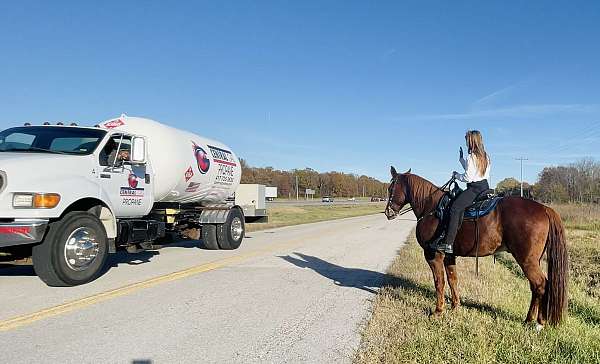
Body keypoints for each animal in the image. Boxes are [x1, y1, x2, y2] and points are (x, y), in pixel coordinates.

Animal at [384, 166, 568, 328]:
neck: (432, 209)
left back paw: (534, 321)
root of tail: (544, 209)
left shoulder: (433, 255)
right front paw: (455, 306)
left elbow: (439, 282)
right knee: (539, 287)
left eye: (391, 187)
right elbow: (452, 279)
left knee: (540, 285)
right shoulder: (449, 255)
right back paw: (537, 319)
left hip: (527, 260)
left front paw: (438, 311)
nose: (388, 212)